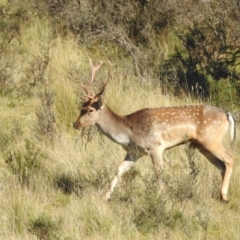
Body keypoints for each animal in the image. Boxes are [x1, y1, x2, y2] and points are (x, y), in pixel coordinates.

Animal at [72, 58, 234, 202]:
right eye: (81, 107)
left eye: (91, 110)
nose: (76, 124)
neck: (128, 131)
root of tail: (227, 114)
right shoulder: (134, 152)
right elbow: (118, 170)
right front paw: (105, 197)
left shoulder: (155, 147)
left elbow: (158, 173)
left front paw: (161, 197)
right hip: (203, 146)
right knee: (221, 166)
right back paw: (221, 196)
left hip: (211, 140)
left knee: (230, 158)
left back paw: (225, 196)